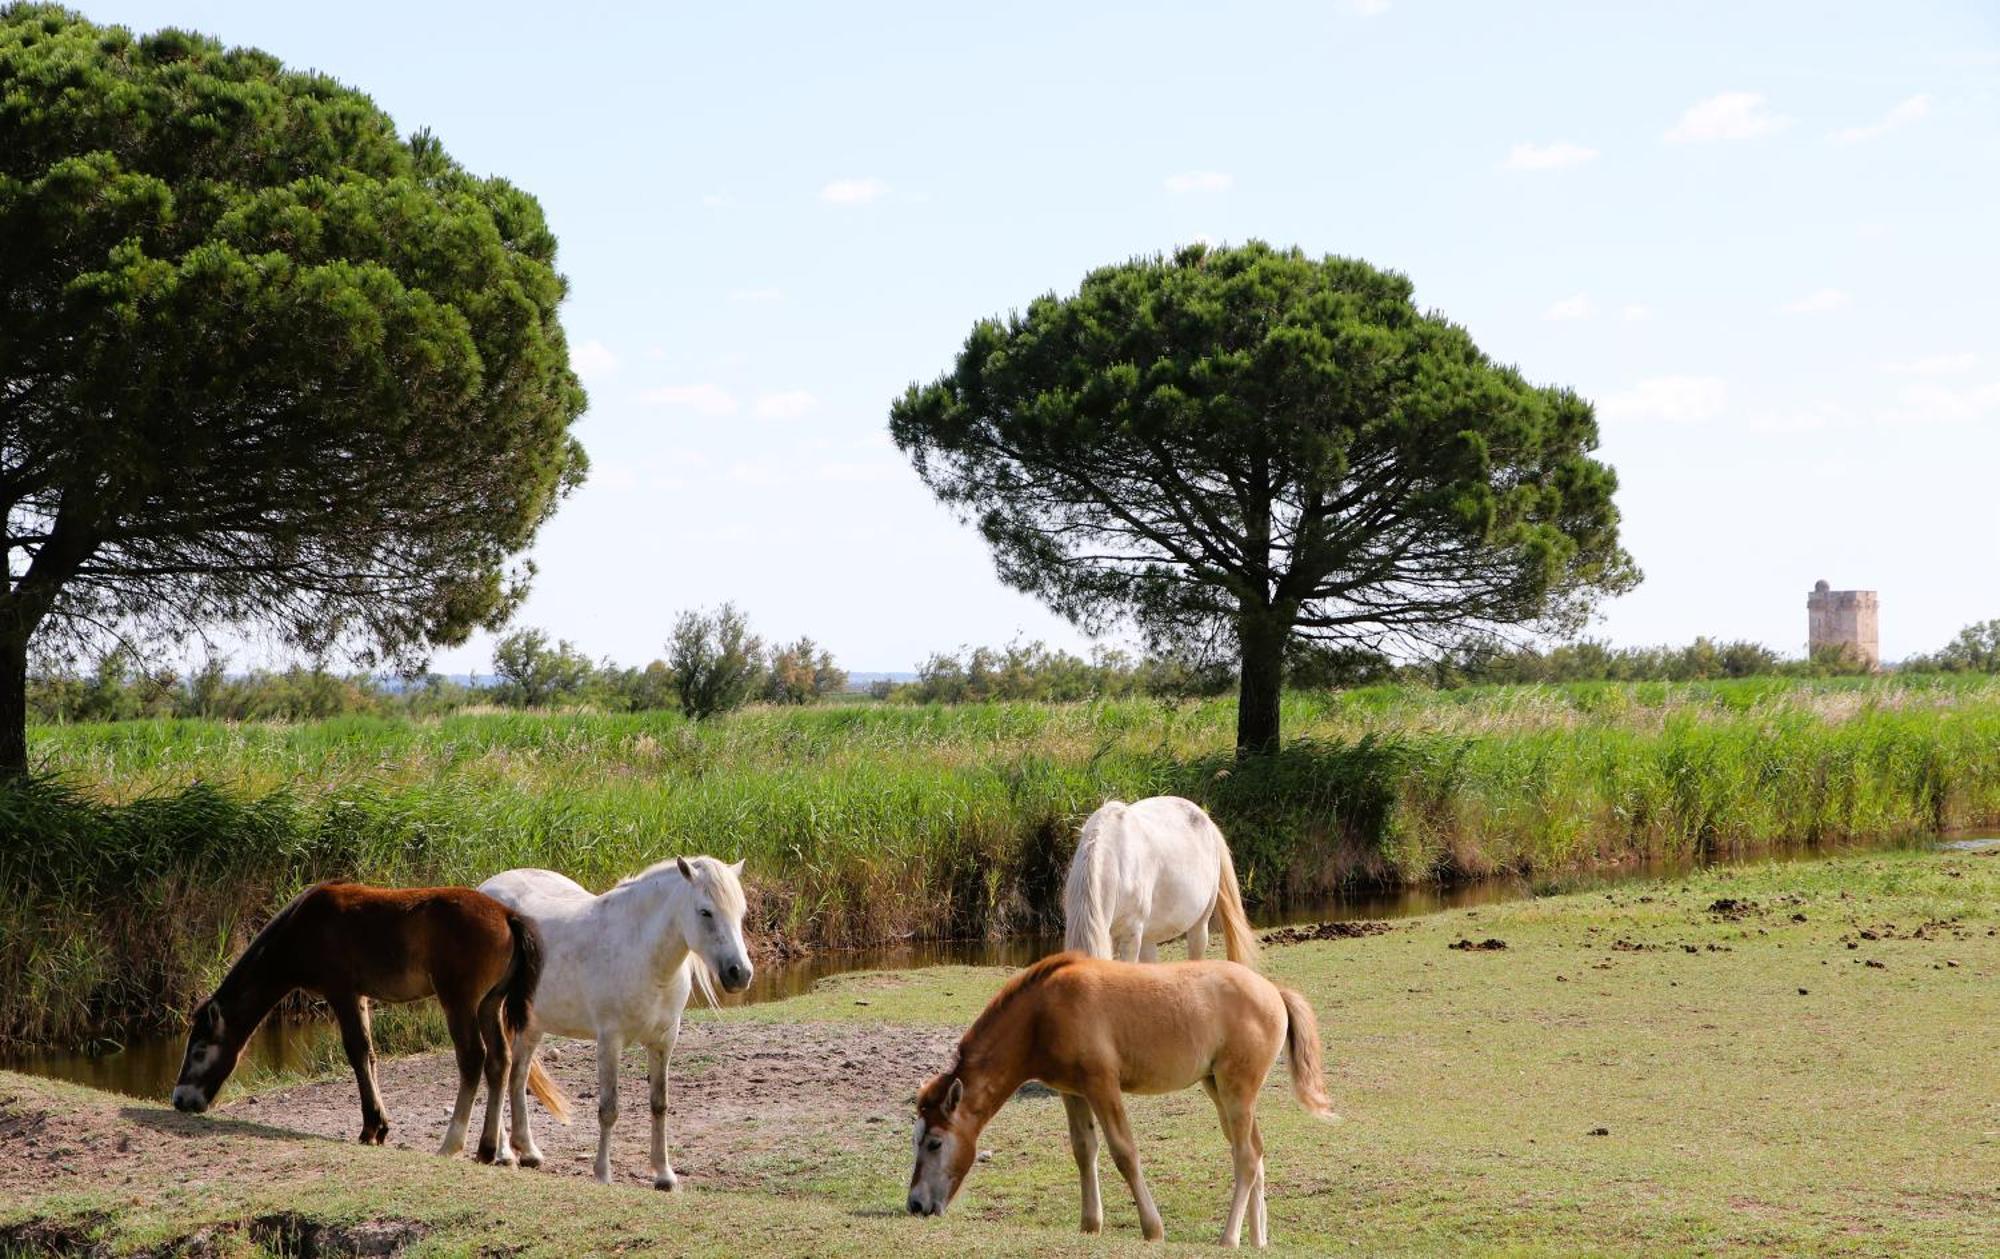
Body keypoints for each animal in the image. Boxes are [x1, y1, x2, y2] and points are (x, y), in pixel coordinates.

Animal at [174, 883, 572, 1167]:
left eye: (199, 1051)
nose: (180, 1099)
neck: (302, 928)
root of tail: (507, 915)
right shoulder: (361, 996)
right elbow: (370, 1054)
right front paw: (379, 1126)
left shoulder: (341, 991)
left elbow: (356, 1051)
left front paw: (371, 1127)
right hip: (490, 1003)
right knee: (500, 1061)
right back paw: (488, 1148)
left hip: (459, 1001)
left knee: (473, 1058)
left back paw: (452, 1144)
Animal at [480, 855, 752, 1191]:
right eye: (705, 911)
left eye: (741, 912)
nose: (740, 973)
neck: (641, 953)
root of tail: (484, 889)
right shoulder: (610, 1042)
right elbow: (609, 1109)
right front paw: (603, 1173)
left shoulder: (664, 1041)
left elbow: (659, 1104)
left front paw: (664, 1175)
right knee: (499, 1072)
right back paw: (504, 1153)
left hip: (531, 1025)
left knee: (516, 1076)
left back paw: (529, 1152)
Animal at [916, 955, 1336, 1255]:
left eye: (935, 1142)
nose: (916, 1204)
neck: (1043, 1012)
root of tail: (1274, 992)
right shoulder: (1074, 1092)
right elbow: (1084, 1150)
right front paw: (1090, 1225)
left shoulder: (1103, 1086)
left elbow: (1124, 1152)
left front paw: (1153, 1229)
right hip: (1219, 1089)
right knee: (1253, 1152)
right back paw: (1256, 1239)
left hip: (1236, 1091)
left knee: (1247, 1157)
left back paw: (1228, 1239)